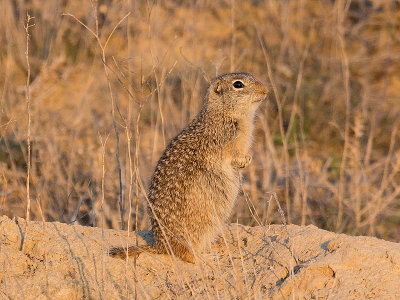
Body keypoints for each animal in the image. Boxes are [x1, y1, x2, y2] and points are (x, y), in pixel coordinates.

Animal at [110, 72, 268, 262]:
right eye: (238, 84)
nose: (266, 90)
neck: (222, 113)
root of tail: (160, 246)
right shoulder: (225, 140)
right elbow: (232, 155)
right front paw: (243, 161)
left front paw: (248, 160)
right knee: (186, 254)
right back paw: (206, 258)